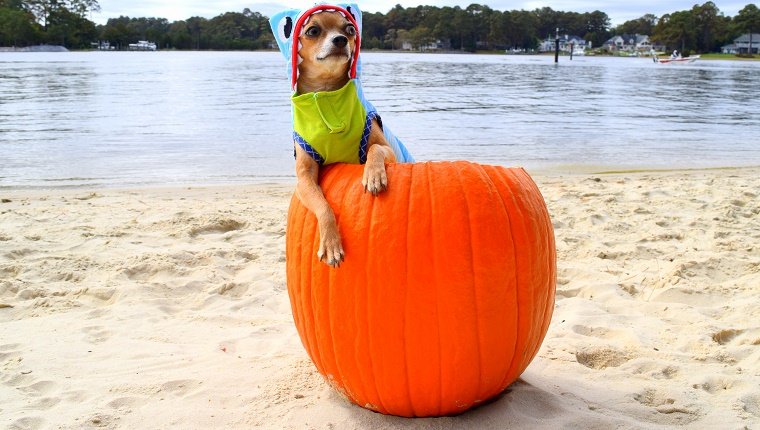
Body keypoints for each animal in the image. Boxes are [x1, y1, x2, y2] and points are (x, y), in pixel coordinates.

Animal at [270, 5, 416, 268]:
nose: (340, 40)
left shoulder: (387, 148)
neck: (325, 93)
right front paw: (331, 243)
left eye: (350, 30)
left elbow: (374, 149)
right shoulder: (304, 177)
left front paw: (373, 175)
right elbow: (322, 205)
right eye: (313, 30)